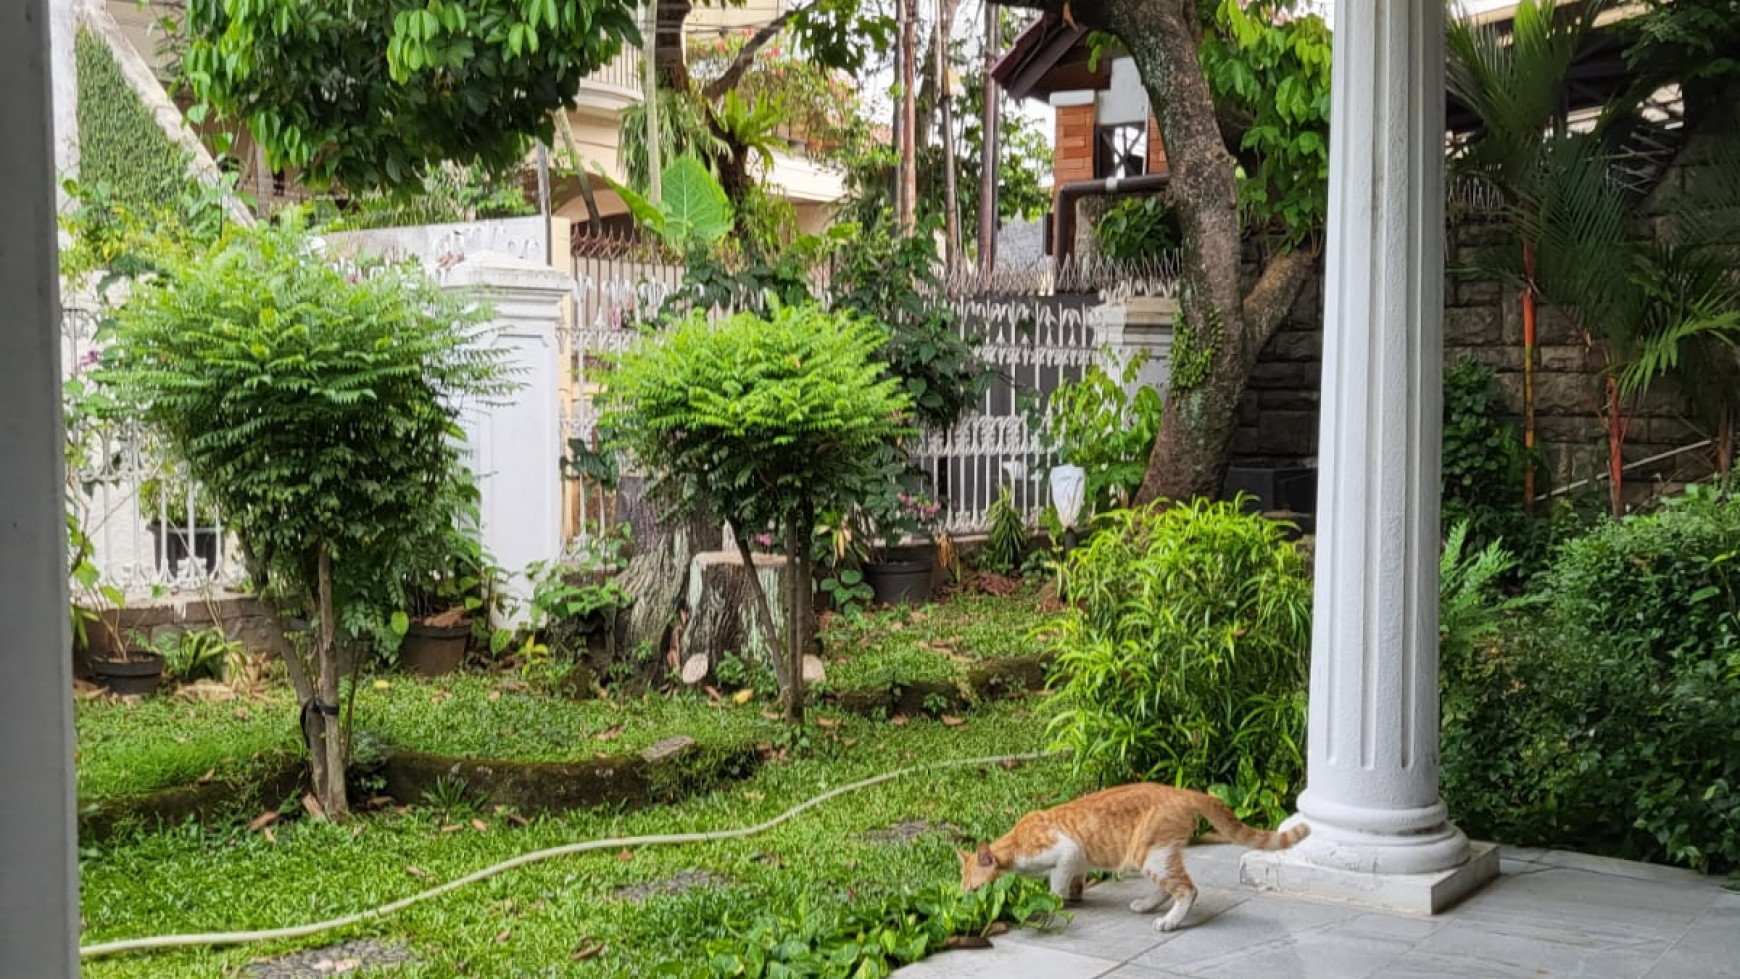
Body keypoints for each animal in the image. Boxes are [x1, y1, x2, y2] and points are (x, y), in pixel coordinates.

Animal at [967, 782, 1308, 932]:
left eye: (970, 887)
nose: (961, 892)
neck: (1015, 843)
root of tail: (1183, 791)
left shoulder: (1066, 850)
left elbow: (1055, 885)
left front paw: (1054, 903)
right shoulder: (1078, 860)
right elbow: (1075, 878)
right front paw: (1076, 895)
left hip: (1150, 854)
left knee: (1187, 890)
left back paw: (1169, 921)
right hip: (1157, 855)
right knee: (1168, 888)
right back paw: (1146, 905)